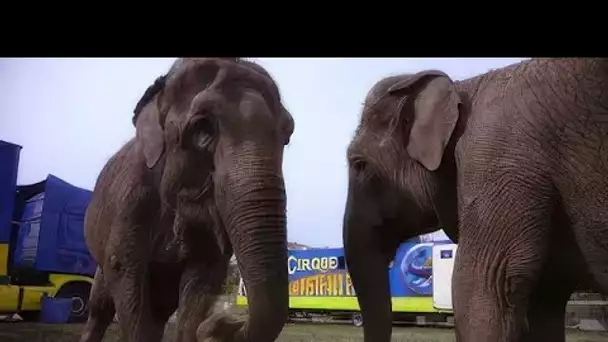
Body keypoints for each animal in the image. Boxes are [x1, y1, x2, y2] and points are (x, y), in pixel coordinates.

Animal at [79, 58, 294, 342]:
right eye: (201, 129)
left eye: (287, 135)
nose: (221, 322)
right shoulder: (131, 200)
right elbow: (124, 272)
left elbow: (202, 280)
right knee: (100, 306)